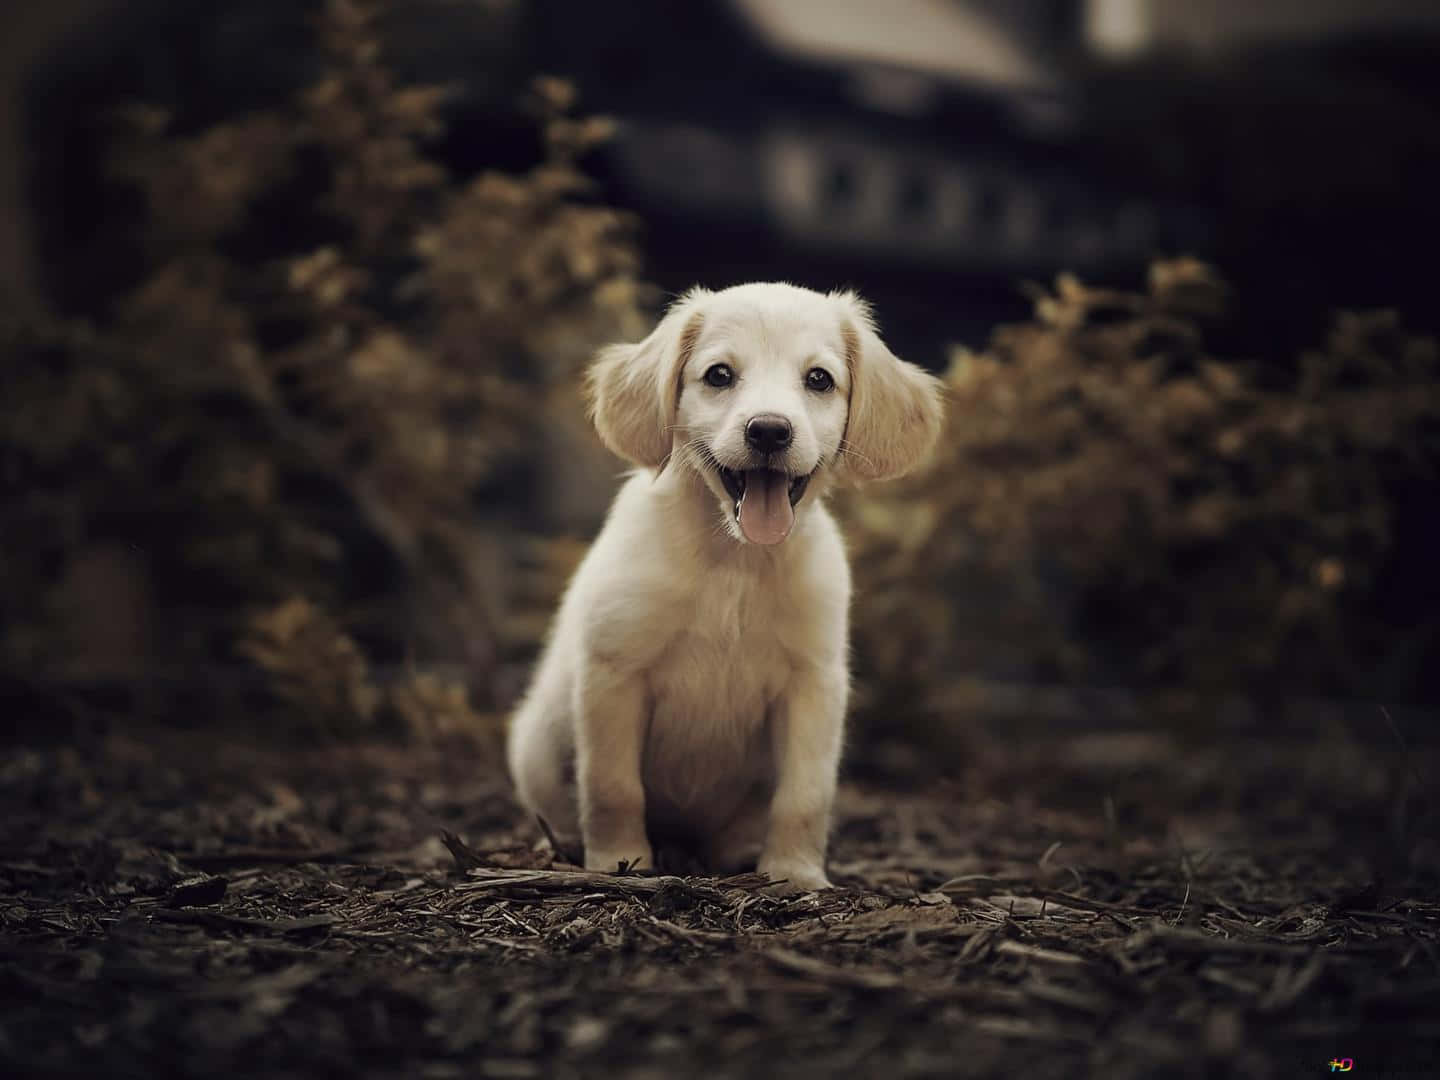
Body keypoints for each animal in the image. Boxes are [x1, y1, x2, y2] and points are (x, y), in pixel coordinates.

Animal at [506, 283, 944, 892]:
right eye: (719, 375)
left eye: (819, 379)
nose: (769, 430)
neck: (735, 561)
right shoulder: (613, 672)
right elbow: (612, 786)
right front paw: (621, 862)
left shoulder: (813, 685)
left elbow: (804, 797)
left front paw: (794, 875)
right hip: (536, 744)